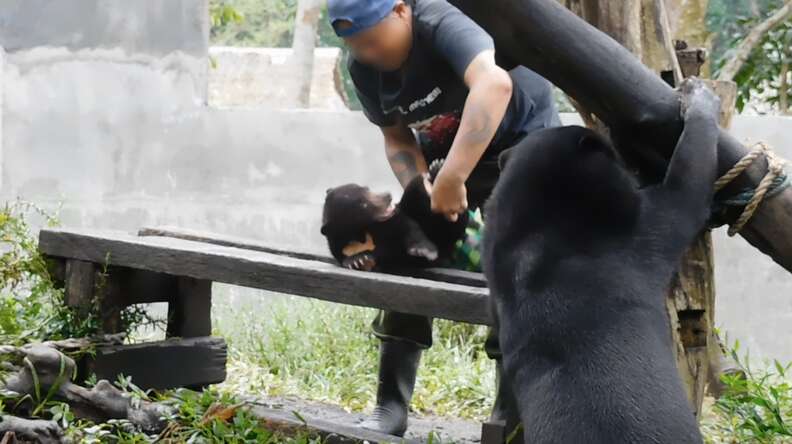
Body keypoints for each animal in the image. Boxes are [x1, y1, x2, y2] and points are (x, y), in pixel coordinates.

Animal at [324, 160, 470, 270]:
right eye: (362, 204)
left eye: (367, 188)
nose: (388, 196)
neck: (364, 230)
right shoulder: (342, 244)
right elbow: (345, 254)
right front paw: (357, 260)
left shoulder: (393, 218)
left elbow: (408, 226)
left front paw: (424, 250)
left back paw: (436, 171)